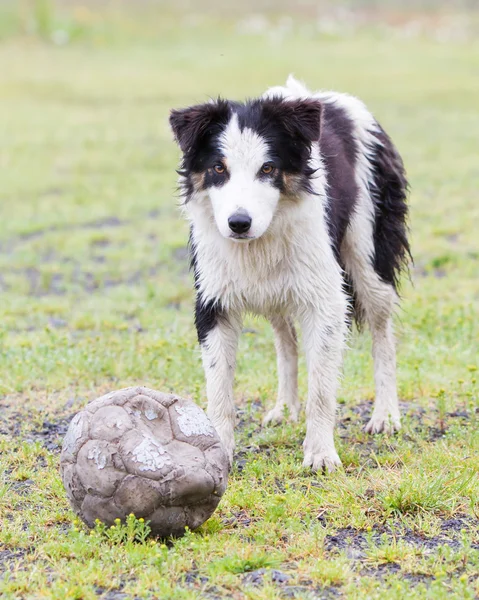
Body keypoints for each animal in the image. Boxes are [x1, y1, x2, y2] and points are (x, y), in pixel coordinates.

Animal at [171, 75, 410, 472]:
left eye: (267, 169)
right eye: (219, 169)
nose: (238, 223)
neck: (260, 241)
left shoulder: (326, 300)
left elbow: (322, 388)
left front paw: (320, 453)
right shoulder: (213, 299)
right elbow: (218, 387)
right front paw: (219, 451)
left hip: (368, 252)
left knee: (382, 330)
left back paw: (386, 415)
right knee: (286, 341)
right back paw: (285, 407)